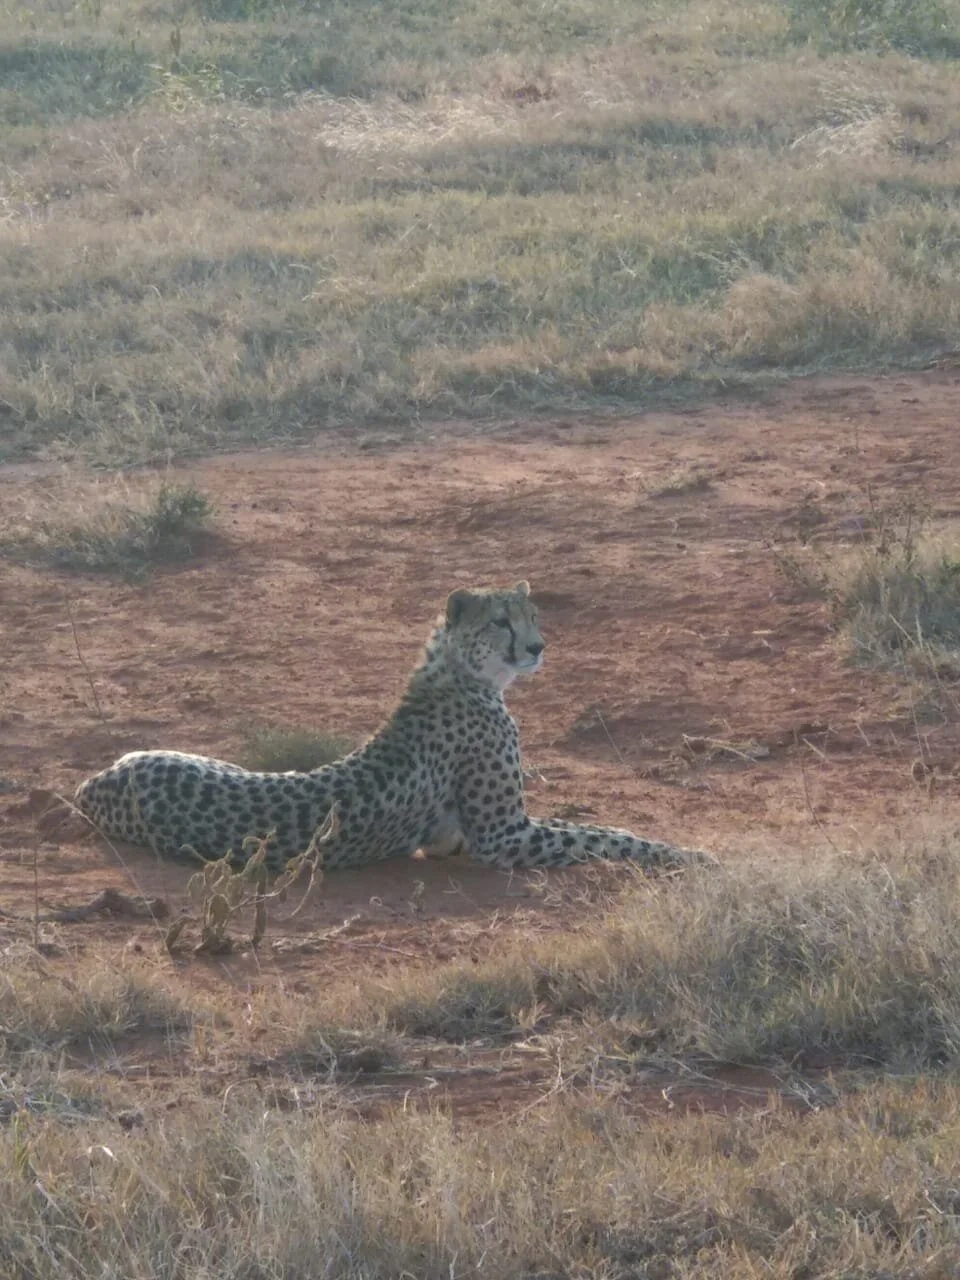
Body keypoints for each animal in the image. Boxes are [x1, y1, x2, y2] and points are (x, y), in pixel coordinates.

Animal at [74, 581, 716, 873]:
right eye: (501, 622)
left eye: (533, 615)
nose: (537, 648)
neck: (462, 676)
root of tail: (95, 783)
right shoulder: (500, 838)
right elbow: (607, 836)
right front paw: (685, 853)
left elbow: (591, 826)